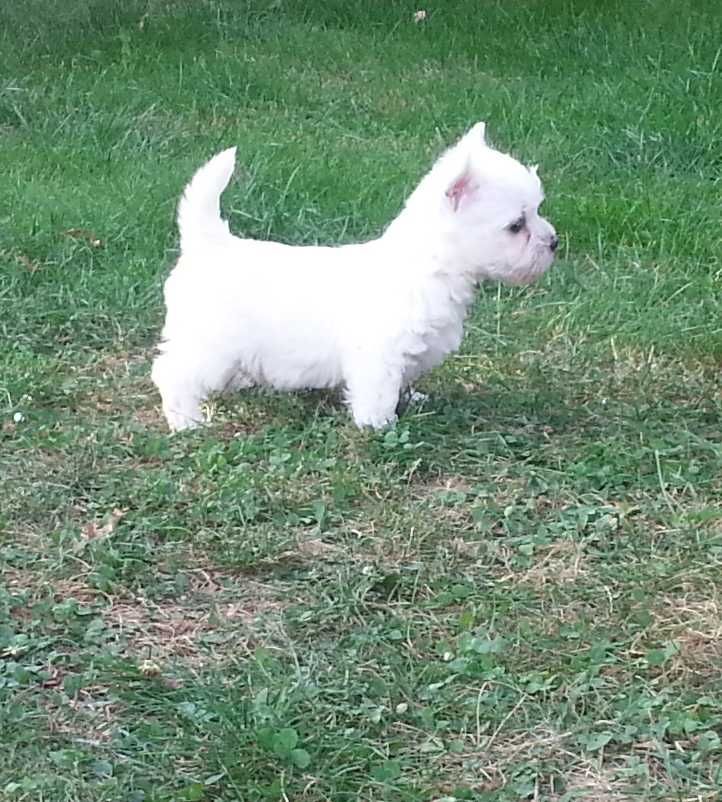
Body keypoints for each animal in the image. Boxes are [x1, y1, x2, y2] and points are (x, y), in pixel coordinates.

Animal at [152, 122, 556, 432]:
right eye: (516, 225)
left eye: (537, 210)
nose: (554, 241)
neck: (429, 266)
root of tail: (208, 243)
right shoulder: (380, 353)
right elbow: (379, 392)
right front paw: (380, 426)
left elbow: (403, 382)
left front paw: (414, 399)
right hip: (209, 344)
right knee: (172, 373)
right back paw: (186, 421)